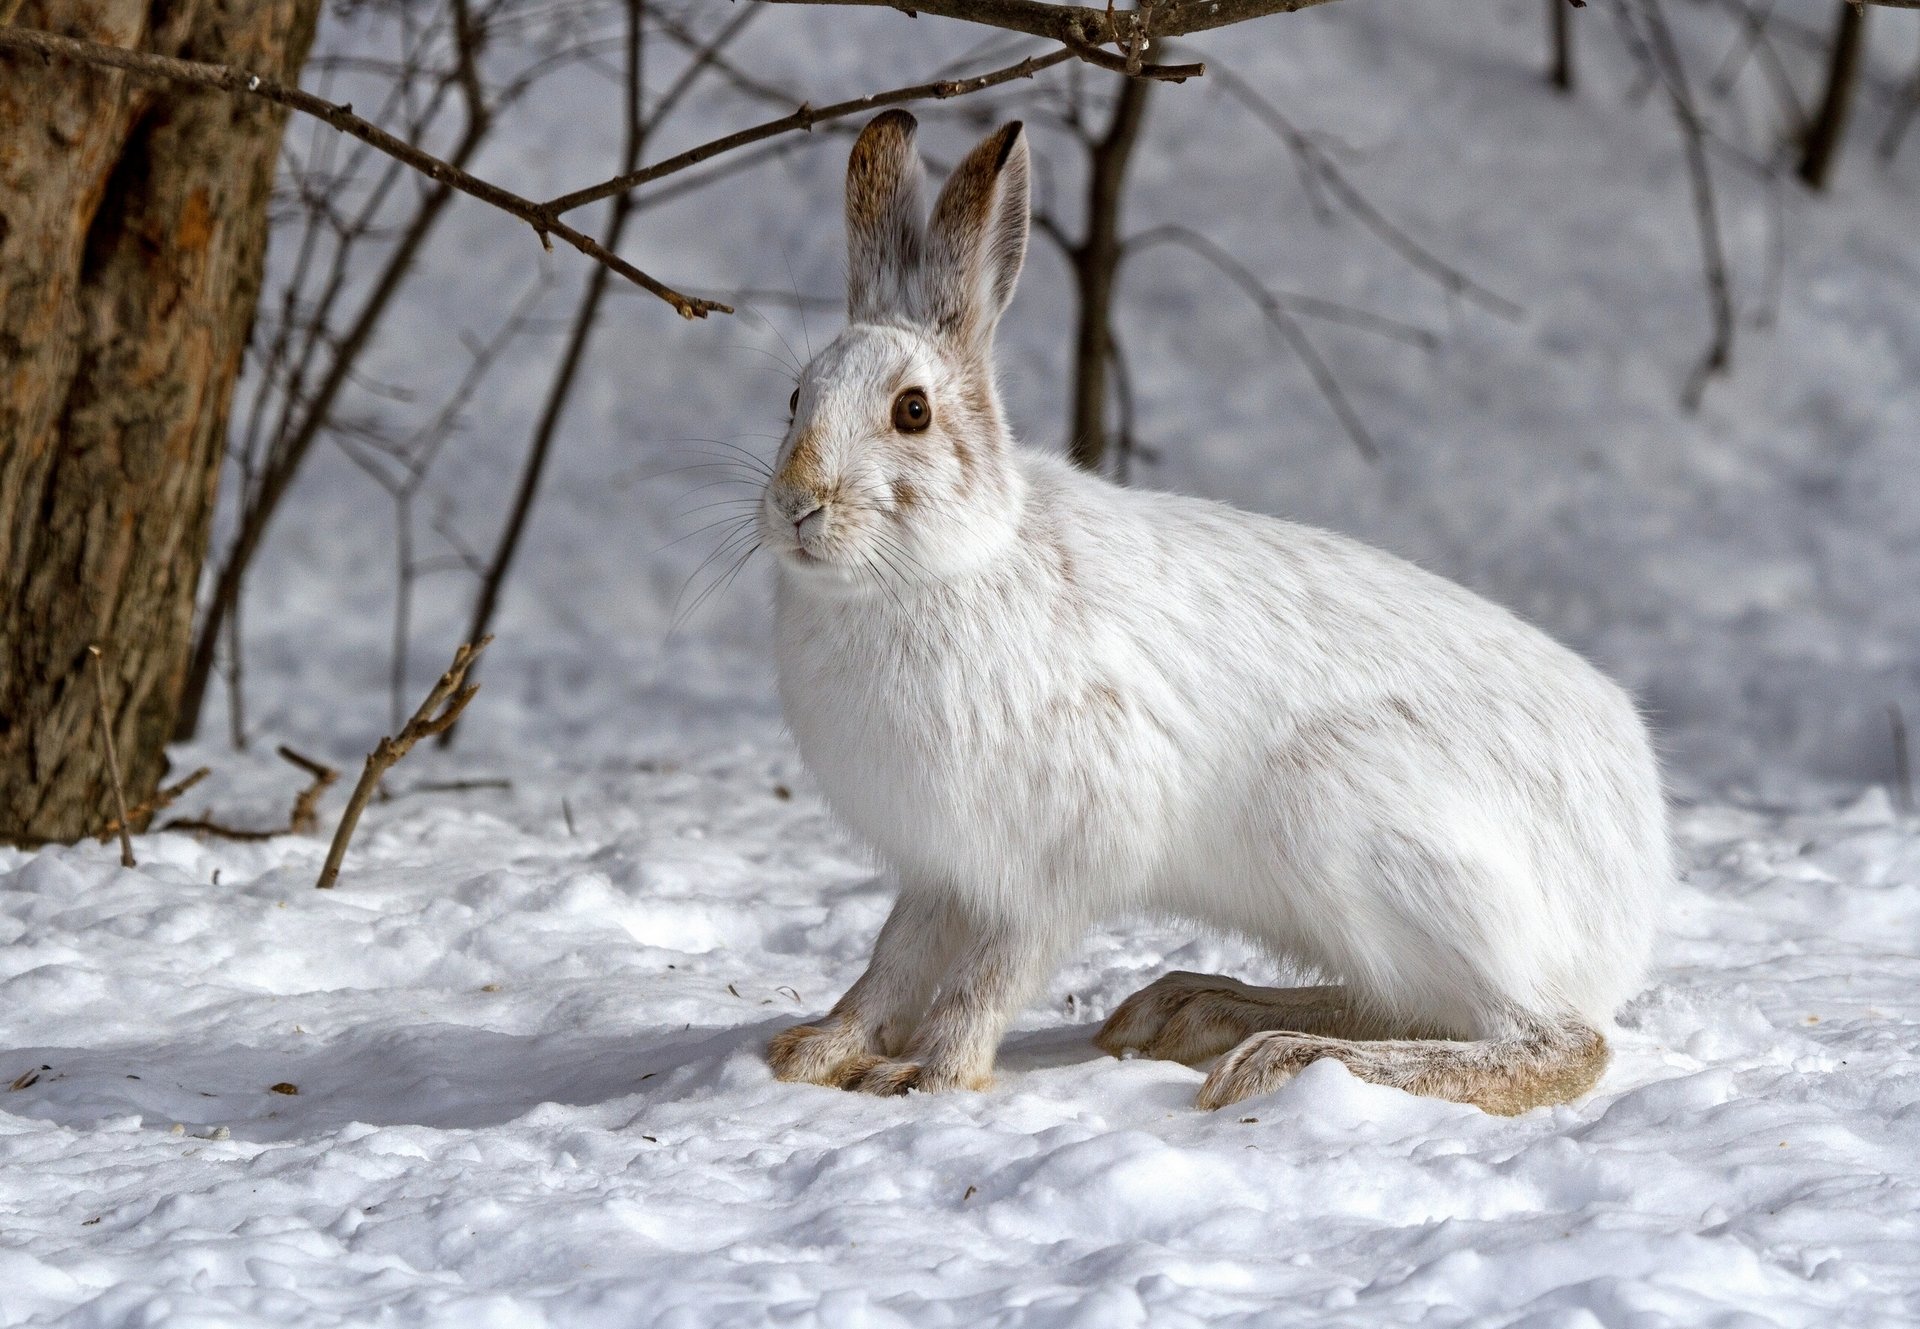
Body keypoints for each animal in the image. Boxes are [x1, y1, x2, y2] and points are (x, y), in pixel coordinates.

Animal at [761, 109, 1669, 1114]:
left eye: (912, 412)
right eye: (795, 398)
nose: (796, 503)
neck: (946, 565)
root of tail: (1634, 879)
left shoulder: (1059, 858)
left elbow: (989, 973)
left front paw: (930, 1075)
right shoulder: (943, 867)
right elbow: (893, 957)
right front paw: (813, 1052)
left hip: (1359, 827)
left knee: (1554, 1041)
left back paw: (1281, 1058)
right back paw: (1195, 1011)